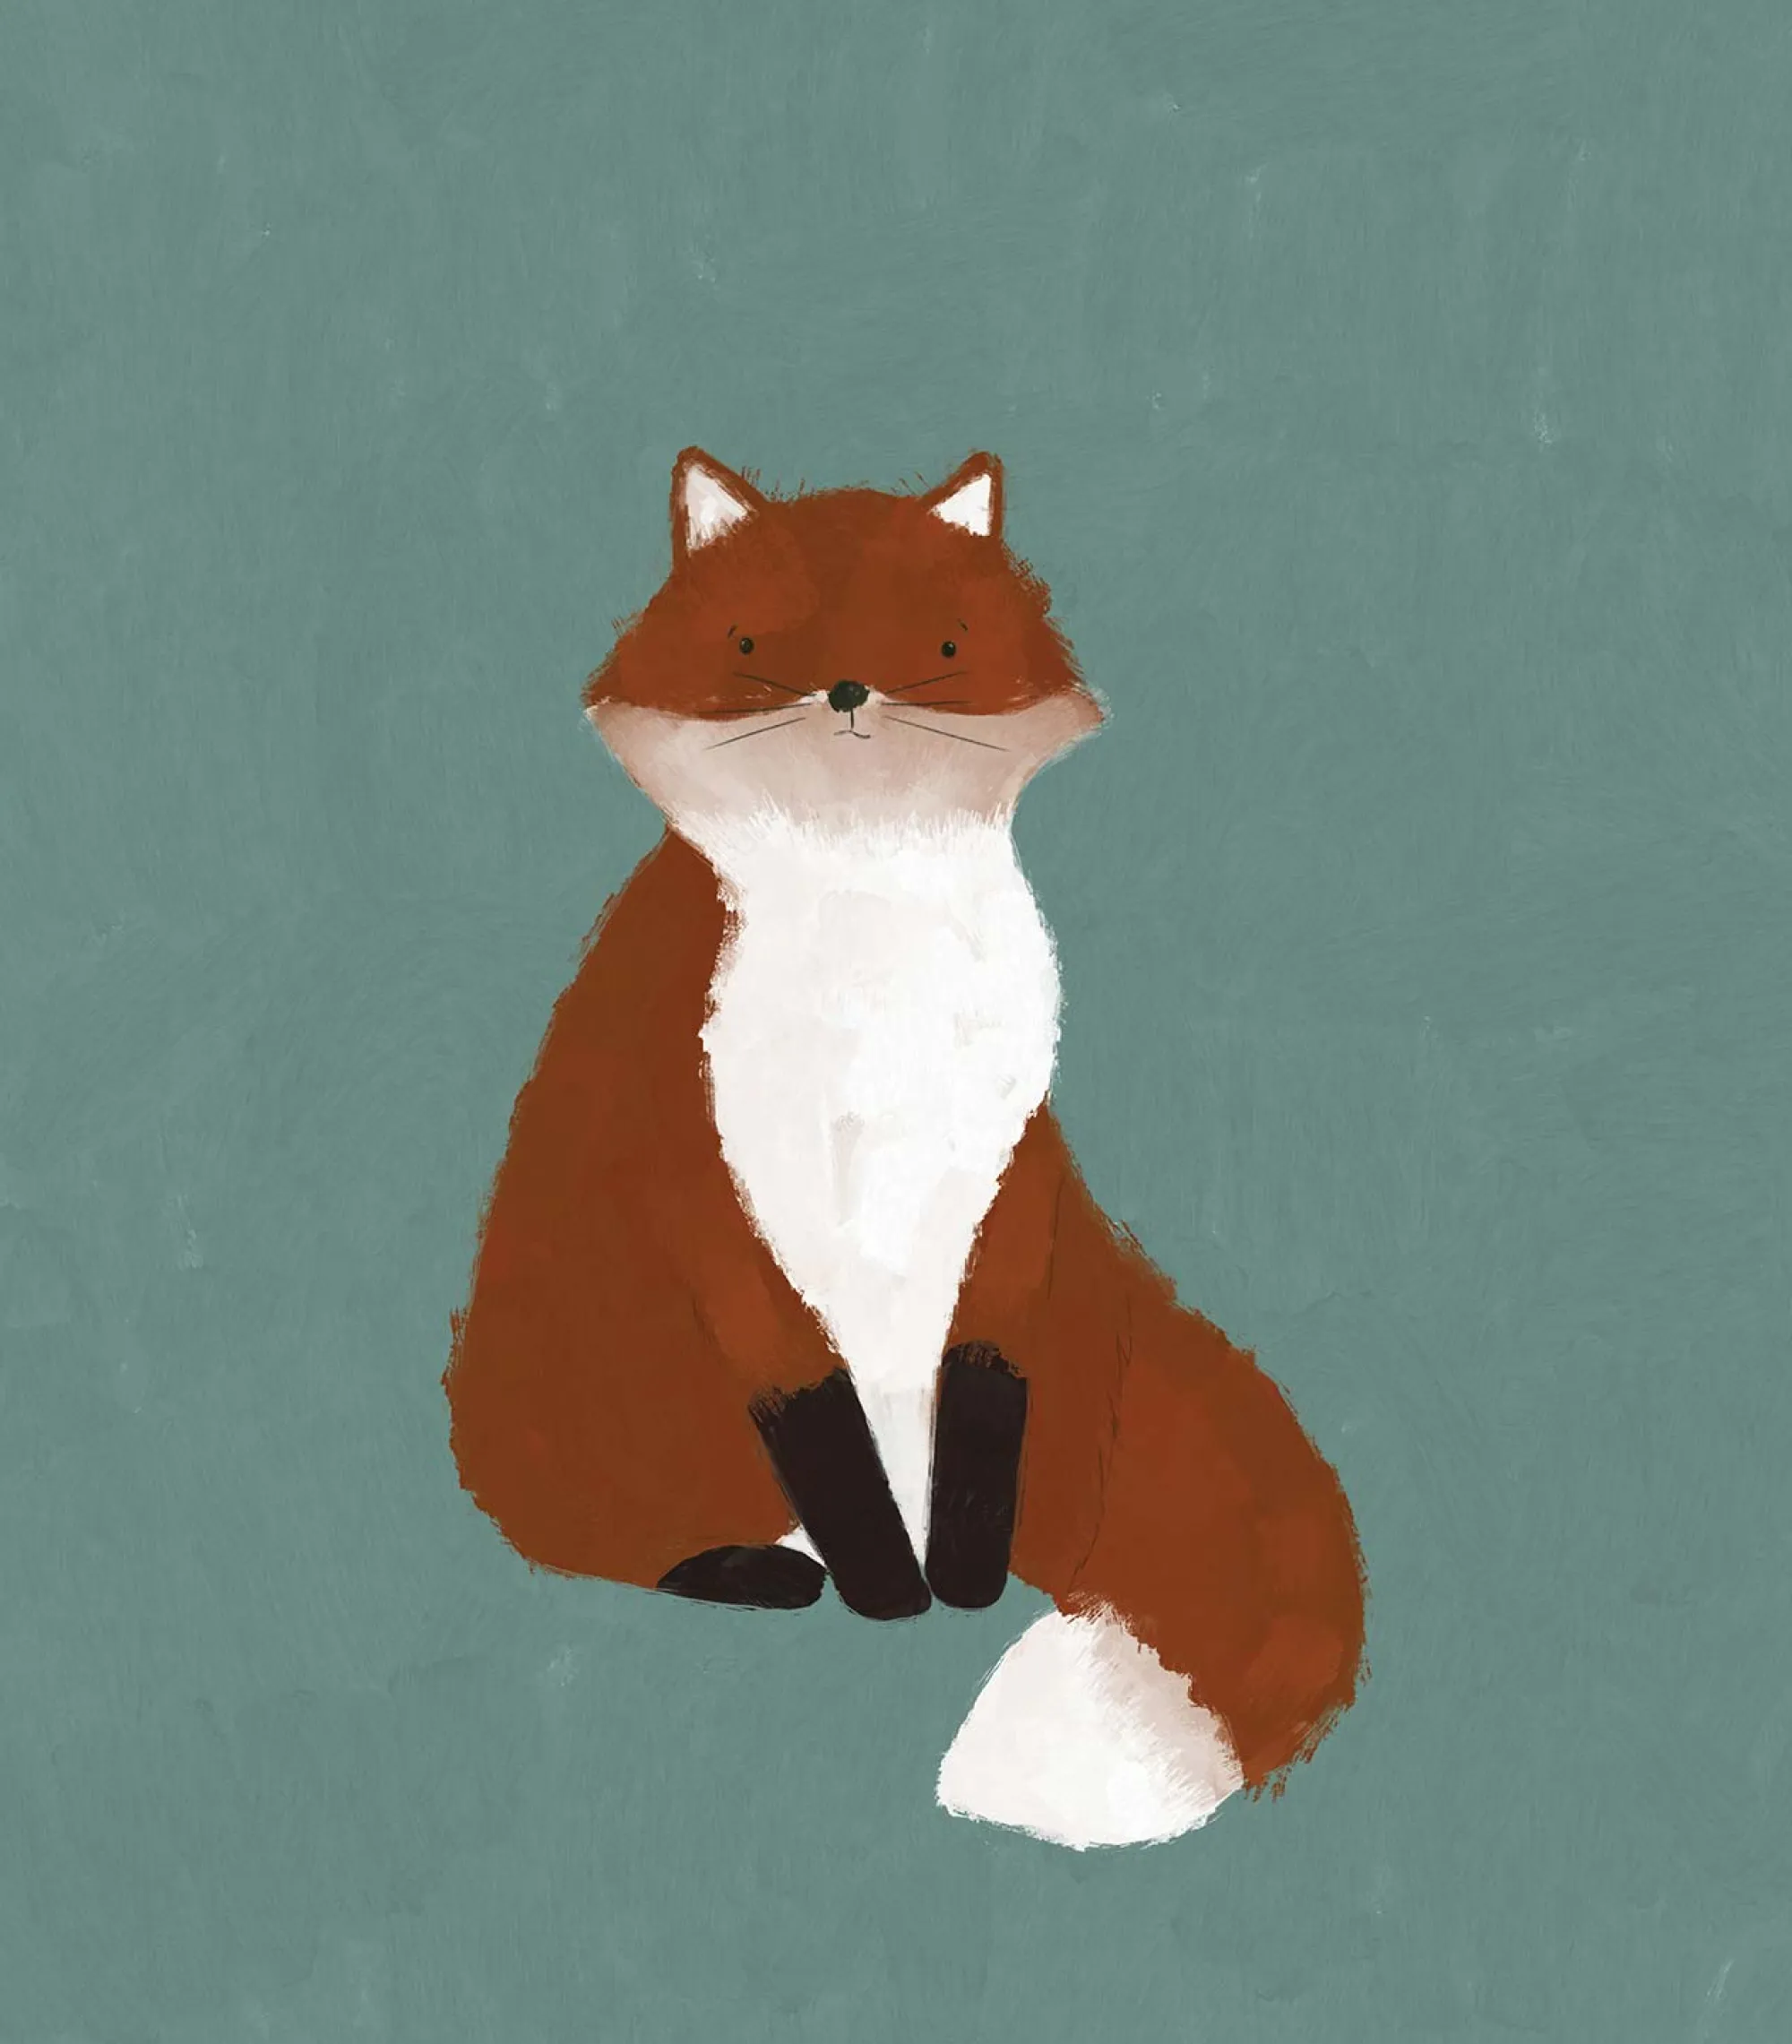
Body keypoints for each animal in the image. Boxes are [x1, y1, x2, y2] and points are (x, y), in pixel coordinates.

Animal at [444, 447, 1366, 1848]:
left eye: (938, 643)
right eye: (753, 642)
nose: (845, 692)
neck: (872, 947)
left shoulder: (1009, 1181)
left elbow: (983, 1401)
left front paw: (959, 1582)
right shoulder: (704, 1187)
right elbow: (820, 1424)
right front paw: (891, 1589)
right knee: (612, 1531)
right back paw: (762, 1569)